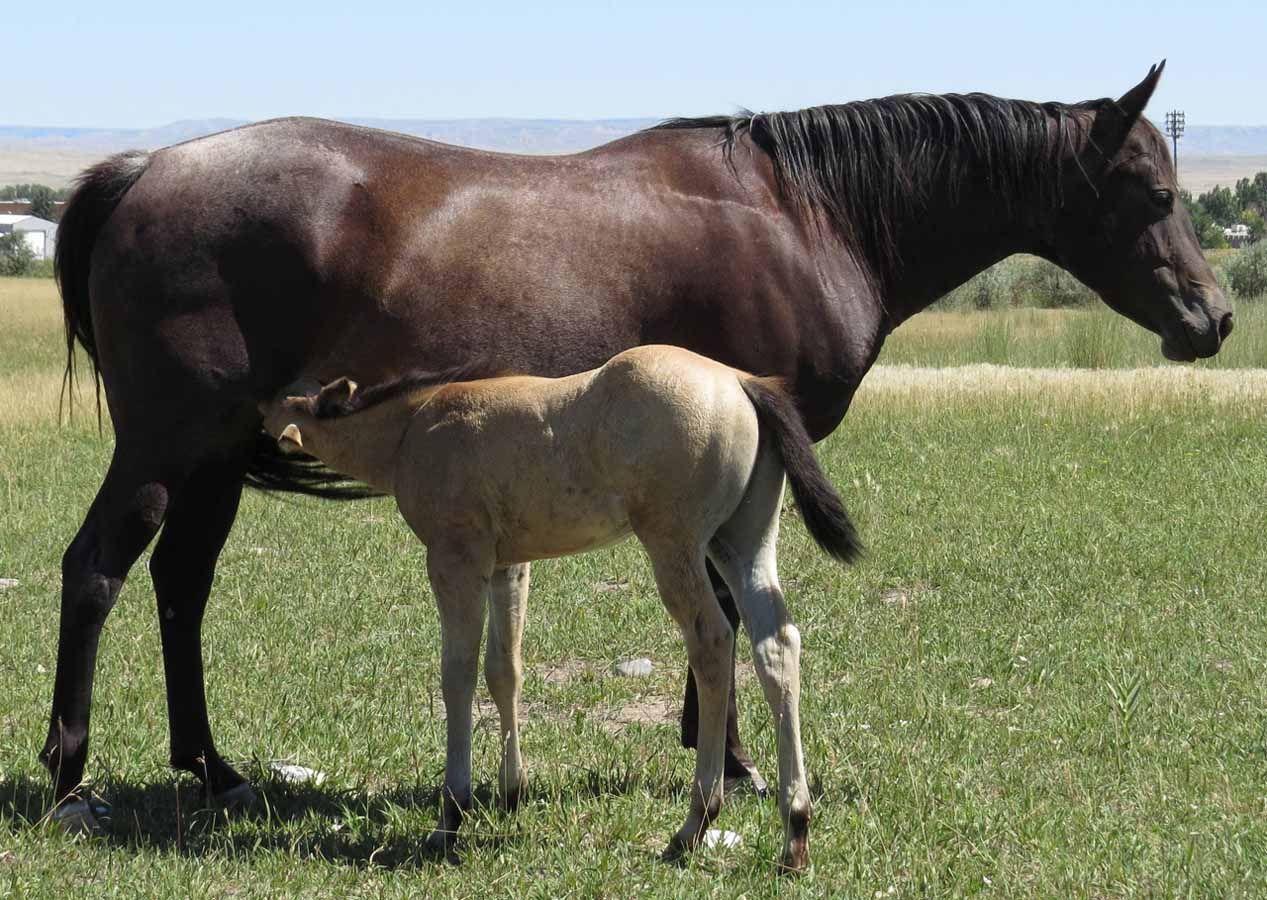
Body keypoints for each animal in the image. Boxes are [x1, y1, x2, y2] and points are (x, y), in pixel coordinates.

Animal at [249, 345, 861, 868]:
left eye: (274, 406)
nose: (251, 430)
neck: (410, 428)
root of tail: (740, 381)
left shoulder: (455, 559)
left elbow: (458, 675)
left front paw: (451, 816)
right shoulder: (509, 566)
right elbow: (505, 670)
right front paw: (510, 793)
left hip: (675, 545)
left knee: (712, 641)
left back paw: (694, 825)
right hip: (742, 543)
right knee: (776, 643)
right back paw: (795, 833)